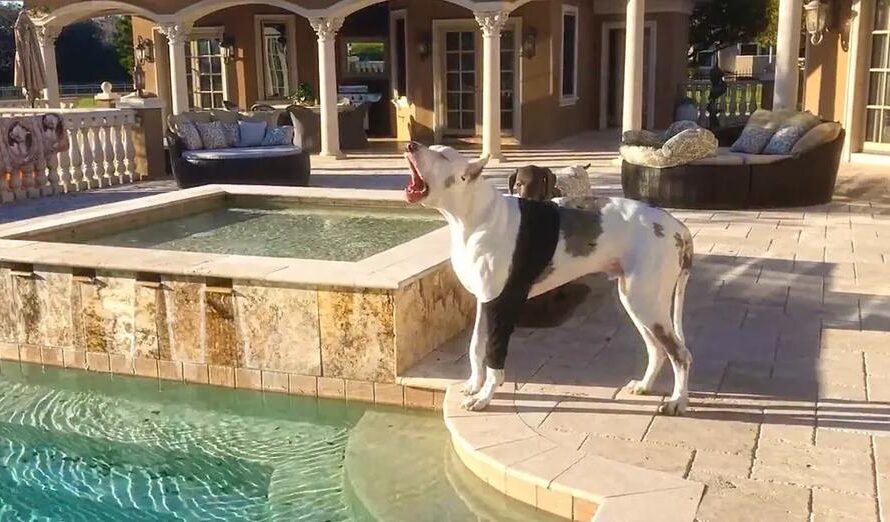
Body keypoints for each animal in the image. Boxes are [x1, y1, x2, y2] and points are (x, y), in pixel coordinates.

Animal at [404, 141, 692, 414]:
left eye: (443, 156)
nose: (410, 145)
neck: (474, 216)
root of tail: (678, 228)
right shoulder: (485, 302)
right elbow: (476, 347)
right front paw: (474, 385)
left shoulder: (503, 305)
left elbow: (494, 356)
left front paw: (484, 397)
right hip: (636, 301)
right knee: (657, 349)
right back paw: (645, 386)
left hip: (645, 303)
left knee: (680, 354)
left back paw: (678, 401)